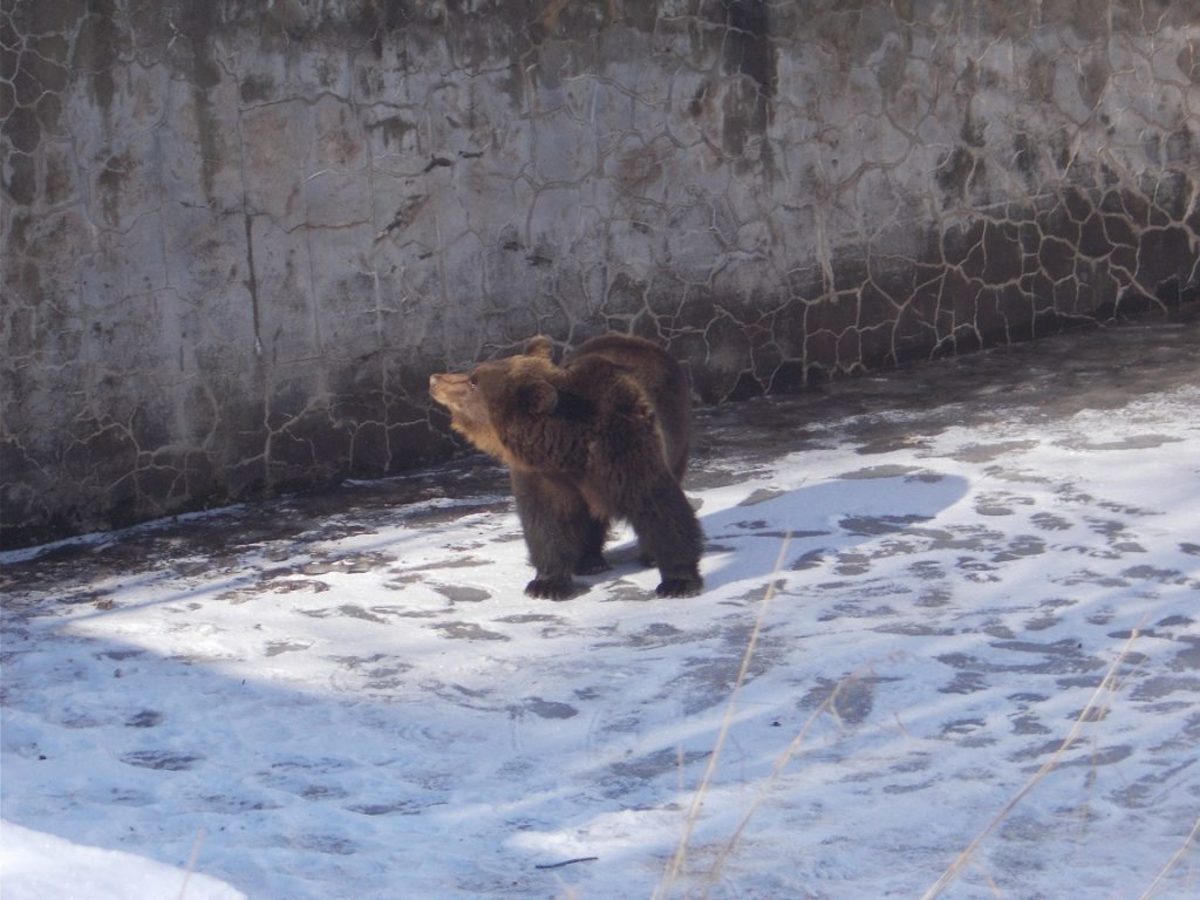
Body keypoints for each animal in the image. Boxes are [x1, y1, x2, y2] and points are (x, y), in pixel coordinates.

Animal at [432, 336, 700, 602]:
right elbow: (547, 523)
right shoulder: (543, 476)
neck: (568, 448)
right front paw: (546, 584)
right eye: (473, 374)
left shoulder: (625, 450)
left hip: (677, 432)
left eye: (473, 381)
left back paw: (646, 557)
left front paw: (678, 582)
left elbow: (659, 507)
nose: (435, 378)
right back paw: (589, 561)